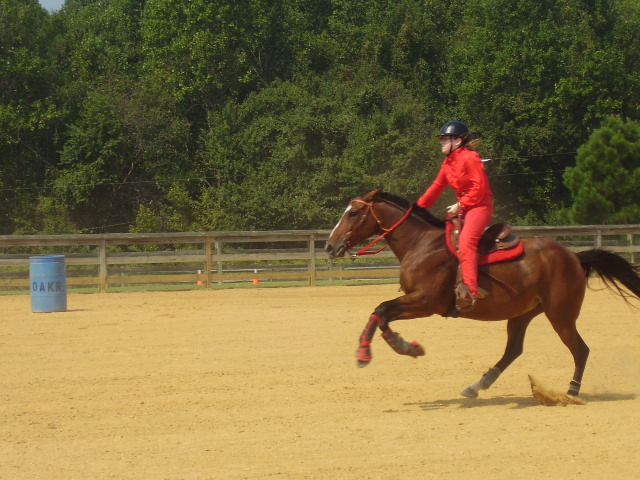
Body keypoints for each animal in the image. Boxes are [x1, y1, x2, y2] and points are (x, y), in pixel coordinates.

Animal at [324, 189, 640, 400]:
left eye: (353, 212)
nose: (329, 246)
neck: (422, 244)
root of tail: (574, 256)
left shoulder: (425, 301)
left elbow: (381, 310)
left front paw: (372, 353)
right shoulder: (415, 300)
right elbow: (383, 314)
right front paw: (402, 346)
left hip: (561, 315)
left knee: (580, 349)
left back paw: (571, 392)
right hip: (523, 313)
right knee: (513, 350)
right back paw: (478, 385)